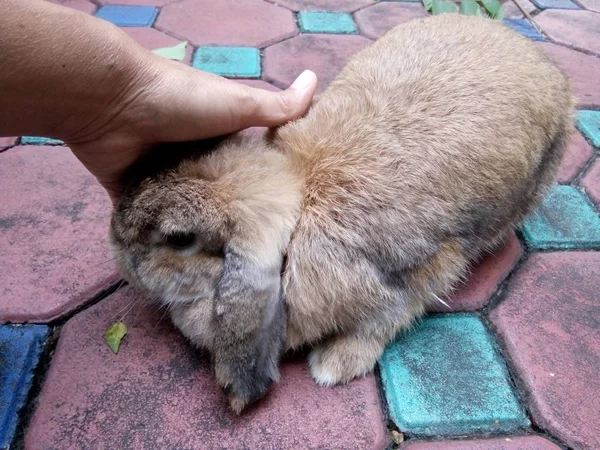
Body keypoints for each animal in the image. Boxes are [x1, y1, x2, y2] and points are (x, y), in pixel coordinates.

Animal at [110, 14, 576, 414]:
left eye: (178, 238)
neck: (303, 198)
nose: (116, 247)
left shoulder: (426, 270)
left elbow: (387, 319)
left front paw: (332, 366)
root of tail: (550, 70)